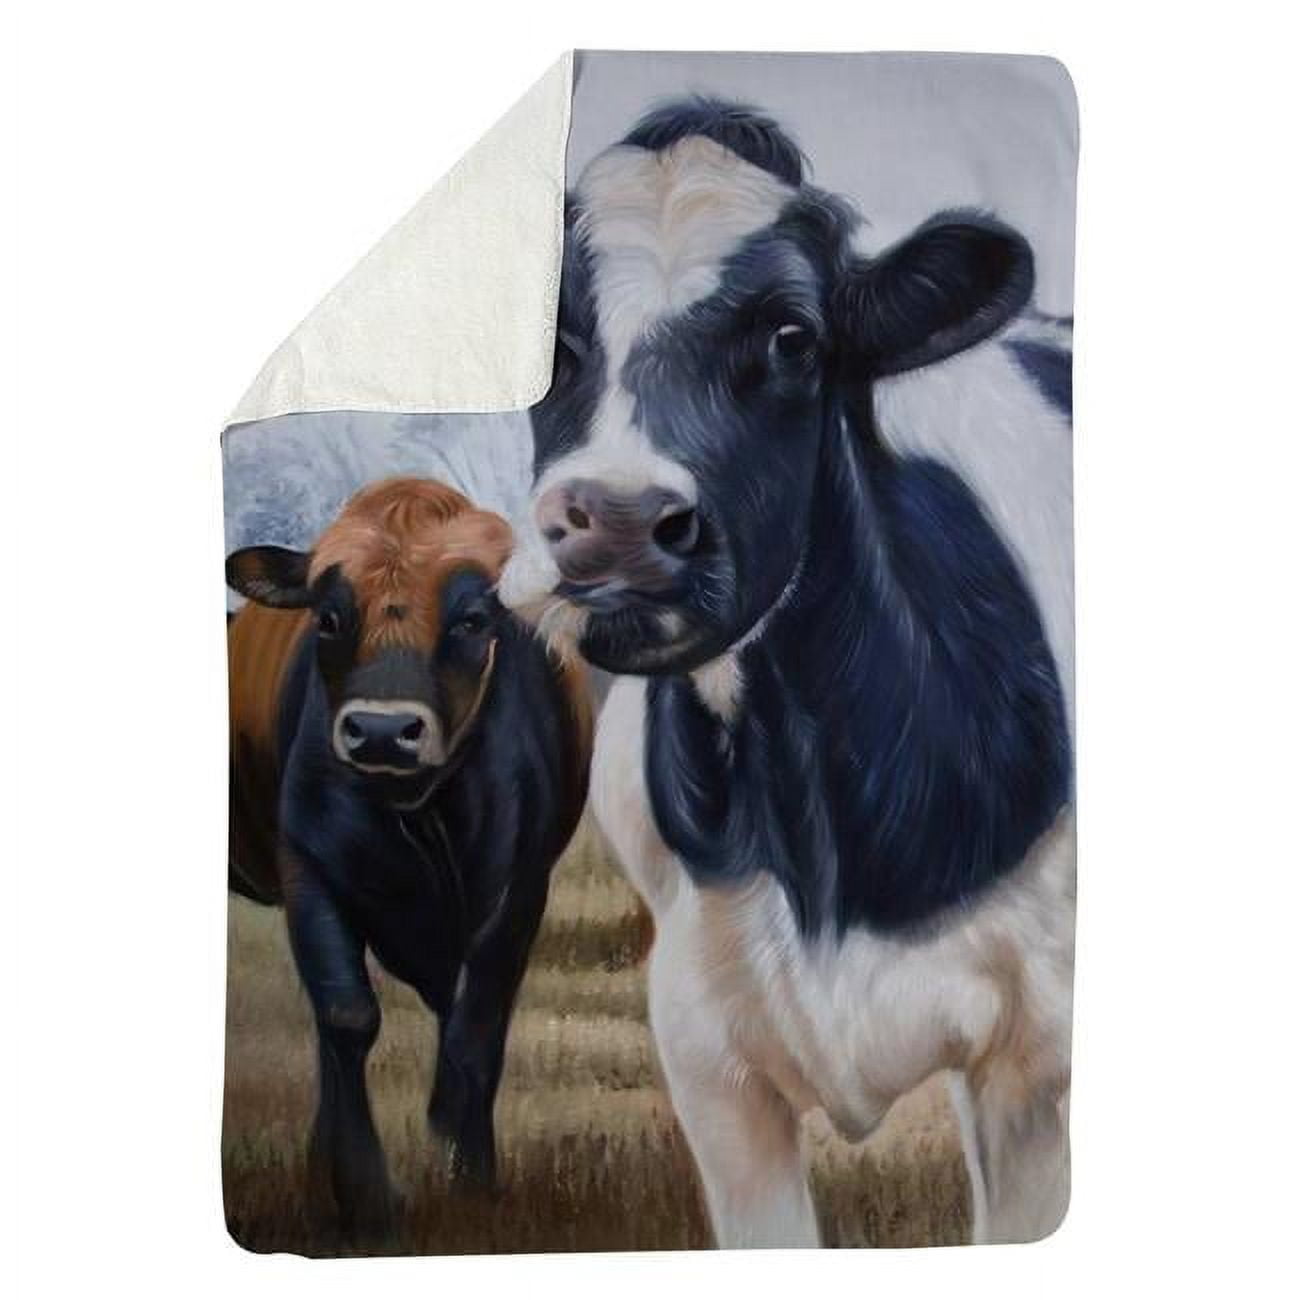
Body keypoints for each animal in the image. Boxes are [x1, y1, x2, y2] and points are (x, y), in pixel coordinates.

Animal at [226, 476, 591, 1241]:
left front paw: (467, 1180)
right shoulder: (307, 872)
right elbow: (347, 1016)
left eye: (474, 618)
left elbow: (473, 1035)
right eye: (329, 616)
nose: (382, 731)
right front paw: (364, 1193)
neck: (422, 817)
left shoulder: (519, 892)